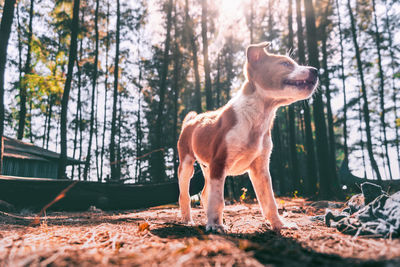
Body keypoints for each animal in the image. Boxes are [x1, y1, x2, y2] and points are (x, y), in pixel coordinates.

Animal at [177, 41, 318, 232]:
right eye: (285, 63)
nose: (315, 70)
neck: (258, 116)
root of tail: (191, 121)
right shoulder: (219, 163)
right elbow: (218, 199)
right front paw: (215, 225)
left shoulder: (260, 168)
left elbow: (269, 201)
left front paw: (280, 224)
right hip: (186, 164)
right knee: (185, 195)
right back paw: (187, 220)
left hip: (207, 168)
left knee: (206, 193)